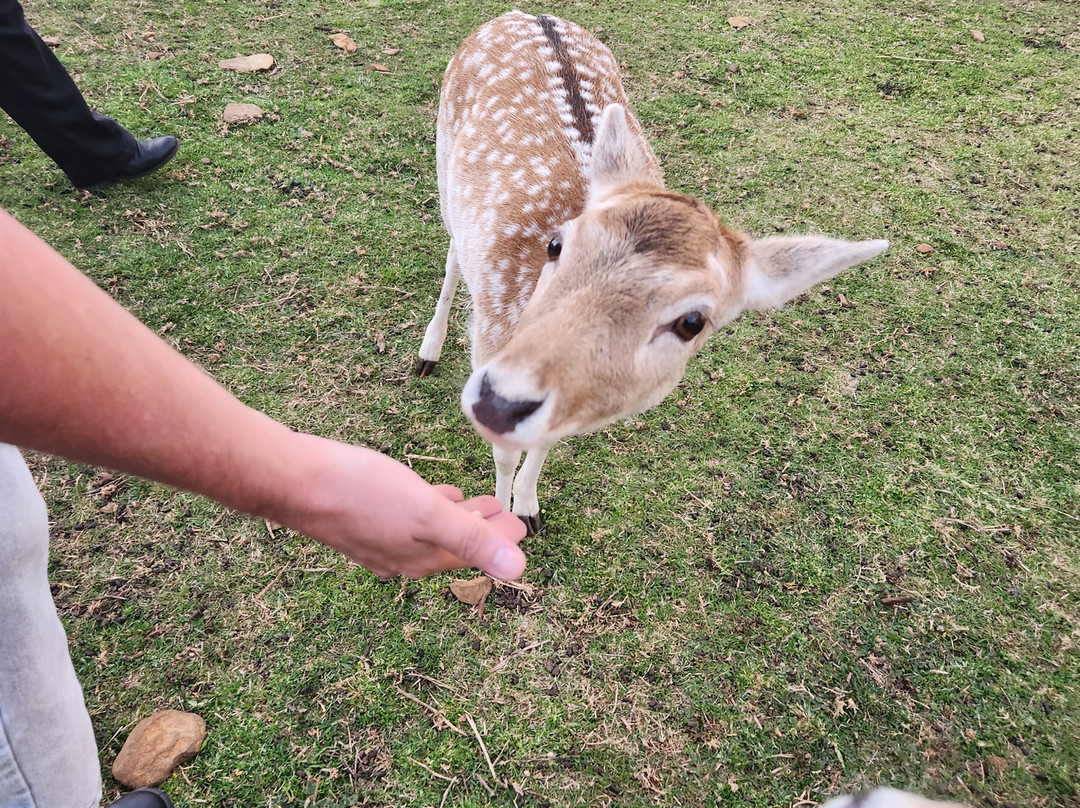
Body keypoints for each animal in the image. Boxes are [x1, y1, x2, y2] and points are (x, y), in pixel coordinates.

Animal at [416, 11, 888, 533]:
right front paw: (501, 521)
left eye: (692, 322)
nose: (499, 401)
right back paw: (427, 353)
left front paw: (529, 508)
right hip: (444, 162)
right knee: (453, 251)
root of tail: (523, 14)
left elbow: (544, 440)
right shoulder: (491, 338)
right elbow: (503, 454)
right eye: (556, 245)